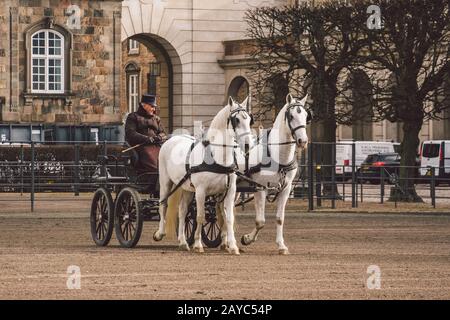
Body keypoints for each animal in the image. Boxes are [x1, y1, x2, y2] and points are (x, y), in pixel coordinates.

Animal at [154, 96, 253, 254]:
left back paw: (183, 242)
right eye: (236, 120)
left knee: (182, 211)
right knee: (163, 204)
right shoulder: (201, 191)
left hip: (187, 188)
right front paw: (198, 244)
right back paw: (160, 233)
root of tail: (171, 139)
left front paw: (233, 246)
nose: (248, 145)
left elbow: (228, 218)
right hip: (165, 182)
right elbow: (200, 216)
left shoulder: (230, 191)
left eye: (249, 119)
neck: (216, 157)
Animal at [236, 93, 310, 255]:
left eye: (306, 115)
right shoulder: (260, 189)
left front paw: (281, 245)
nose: (303, 141)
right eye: (291, 116)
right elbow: (260, 221)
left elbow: (279, 218)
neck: (277, 157)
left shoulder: (285, 190)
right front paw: (247, 239)